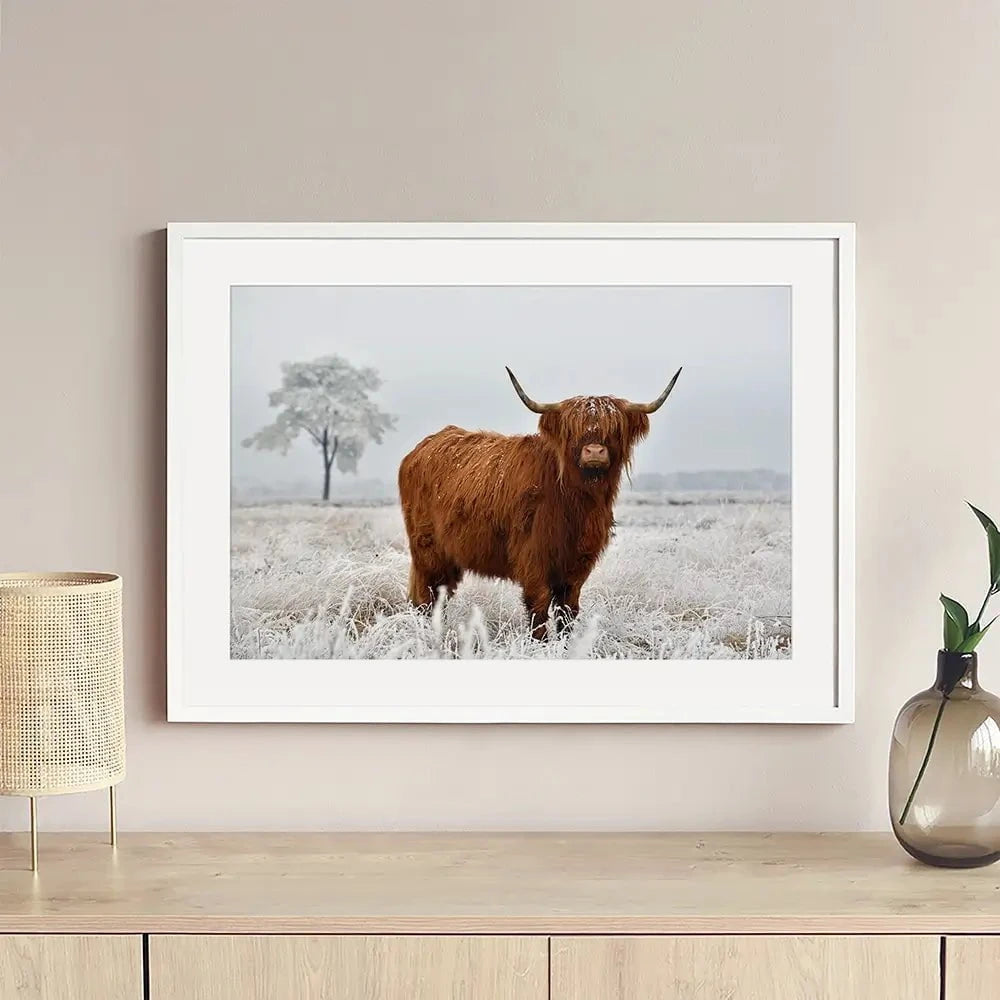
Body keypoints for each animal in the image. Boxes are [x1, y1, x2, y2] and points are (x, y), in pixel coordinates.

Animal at [398, 366, 682, 640]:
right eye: (572, 430)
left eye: (614, 429)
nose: (594, 451)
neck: (577, 504)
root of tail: (422, 447)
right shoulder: (533, 557)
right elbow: (539, 607)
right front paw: (541, 644)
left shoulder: (578, 564)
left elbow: (568, 610)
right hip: (428, 550)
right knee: (427, 597)